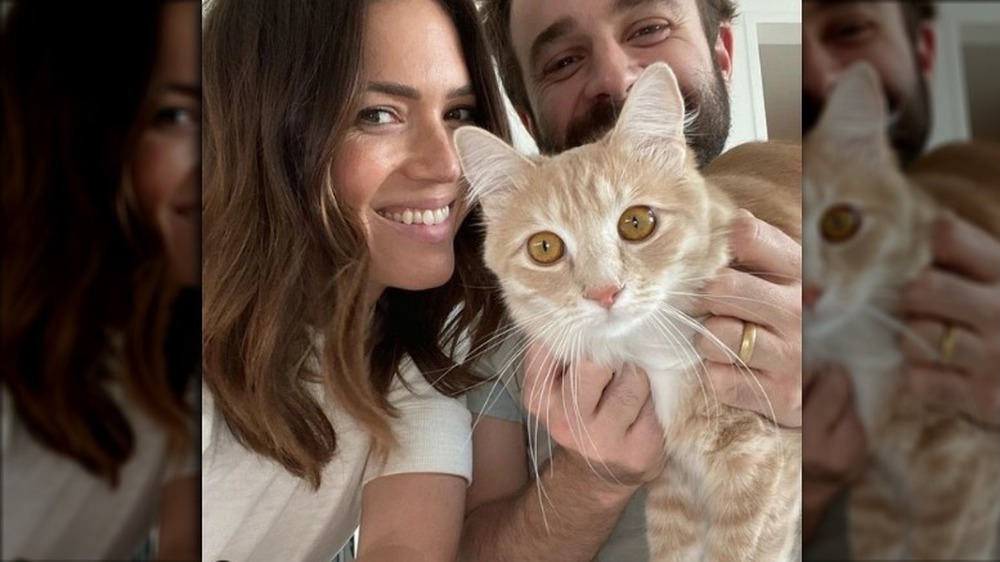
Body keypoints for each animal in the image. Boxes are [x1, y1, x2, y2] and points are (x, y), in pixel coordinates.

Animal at [458, 62, 800, 560]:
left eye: (636, 223)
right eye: (544, 248)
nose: (605, 292)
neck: (653, 352)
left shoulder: (764, 470)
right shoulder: (673, 489)